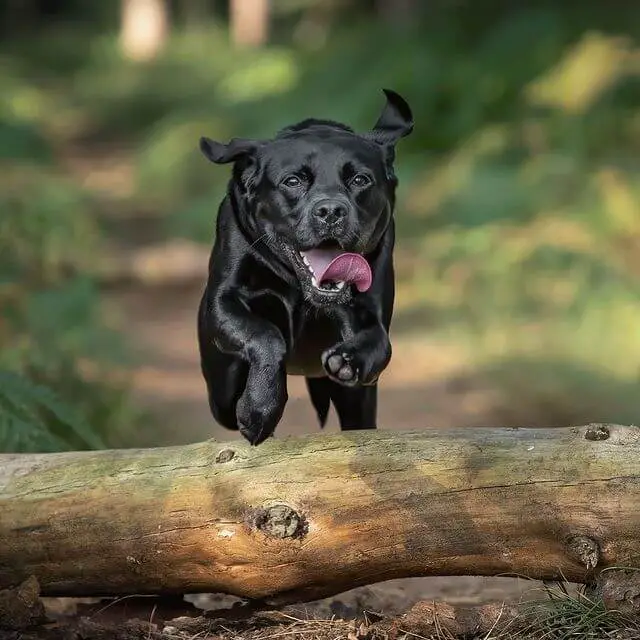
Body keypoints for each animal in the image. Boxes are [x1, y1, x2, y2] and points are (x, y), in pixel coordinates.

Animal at [198, 90, 412, 444]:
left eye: (360, 179)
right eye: (293, 181)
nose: (330, 211)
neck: (300, 289)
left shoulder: (371, 312)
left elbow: (380, 343)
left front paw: (348, 360)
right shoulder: (223, 301)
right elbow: (266, 334)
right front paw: (259, 407)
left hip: (359, 403)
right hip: (221, 392)